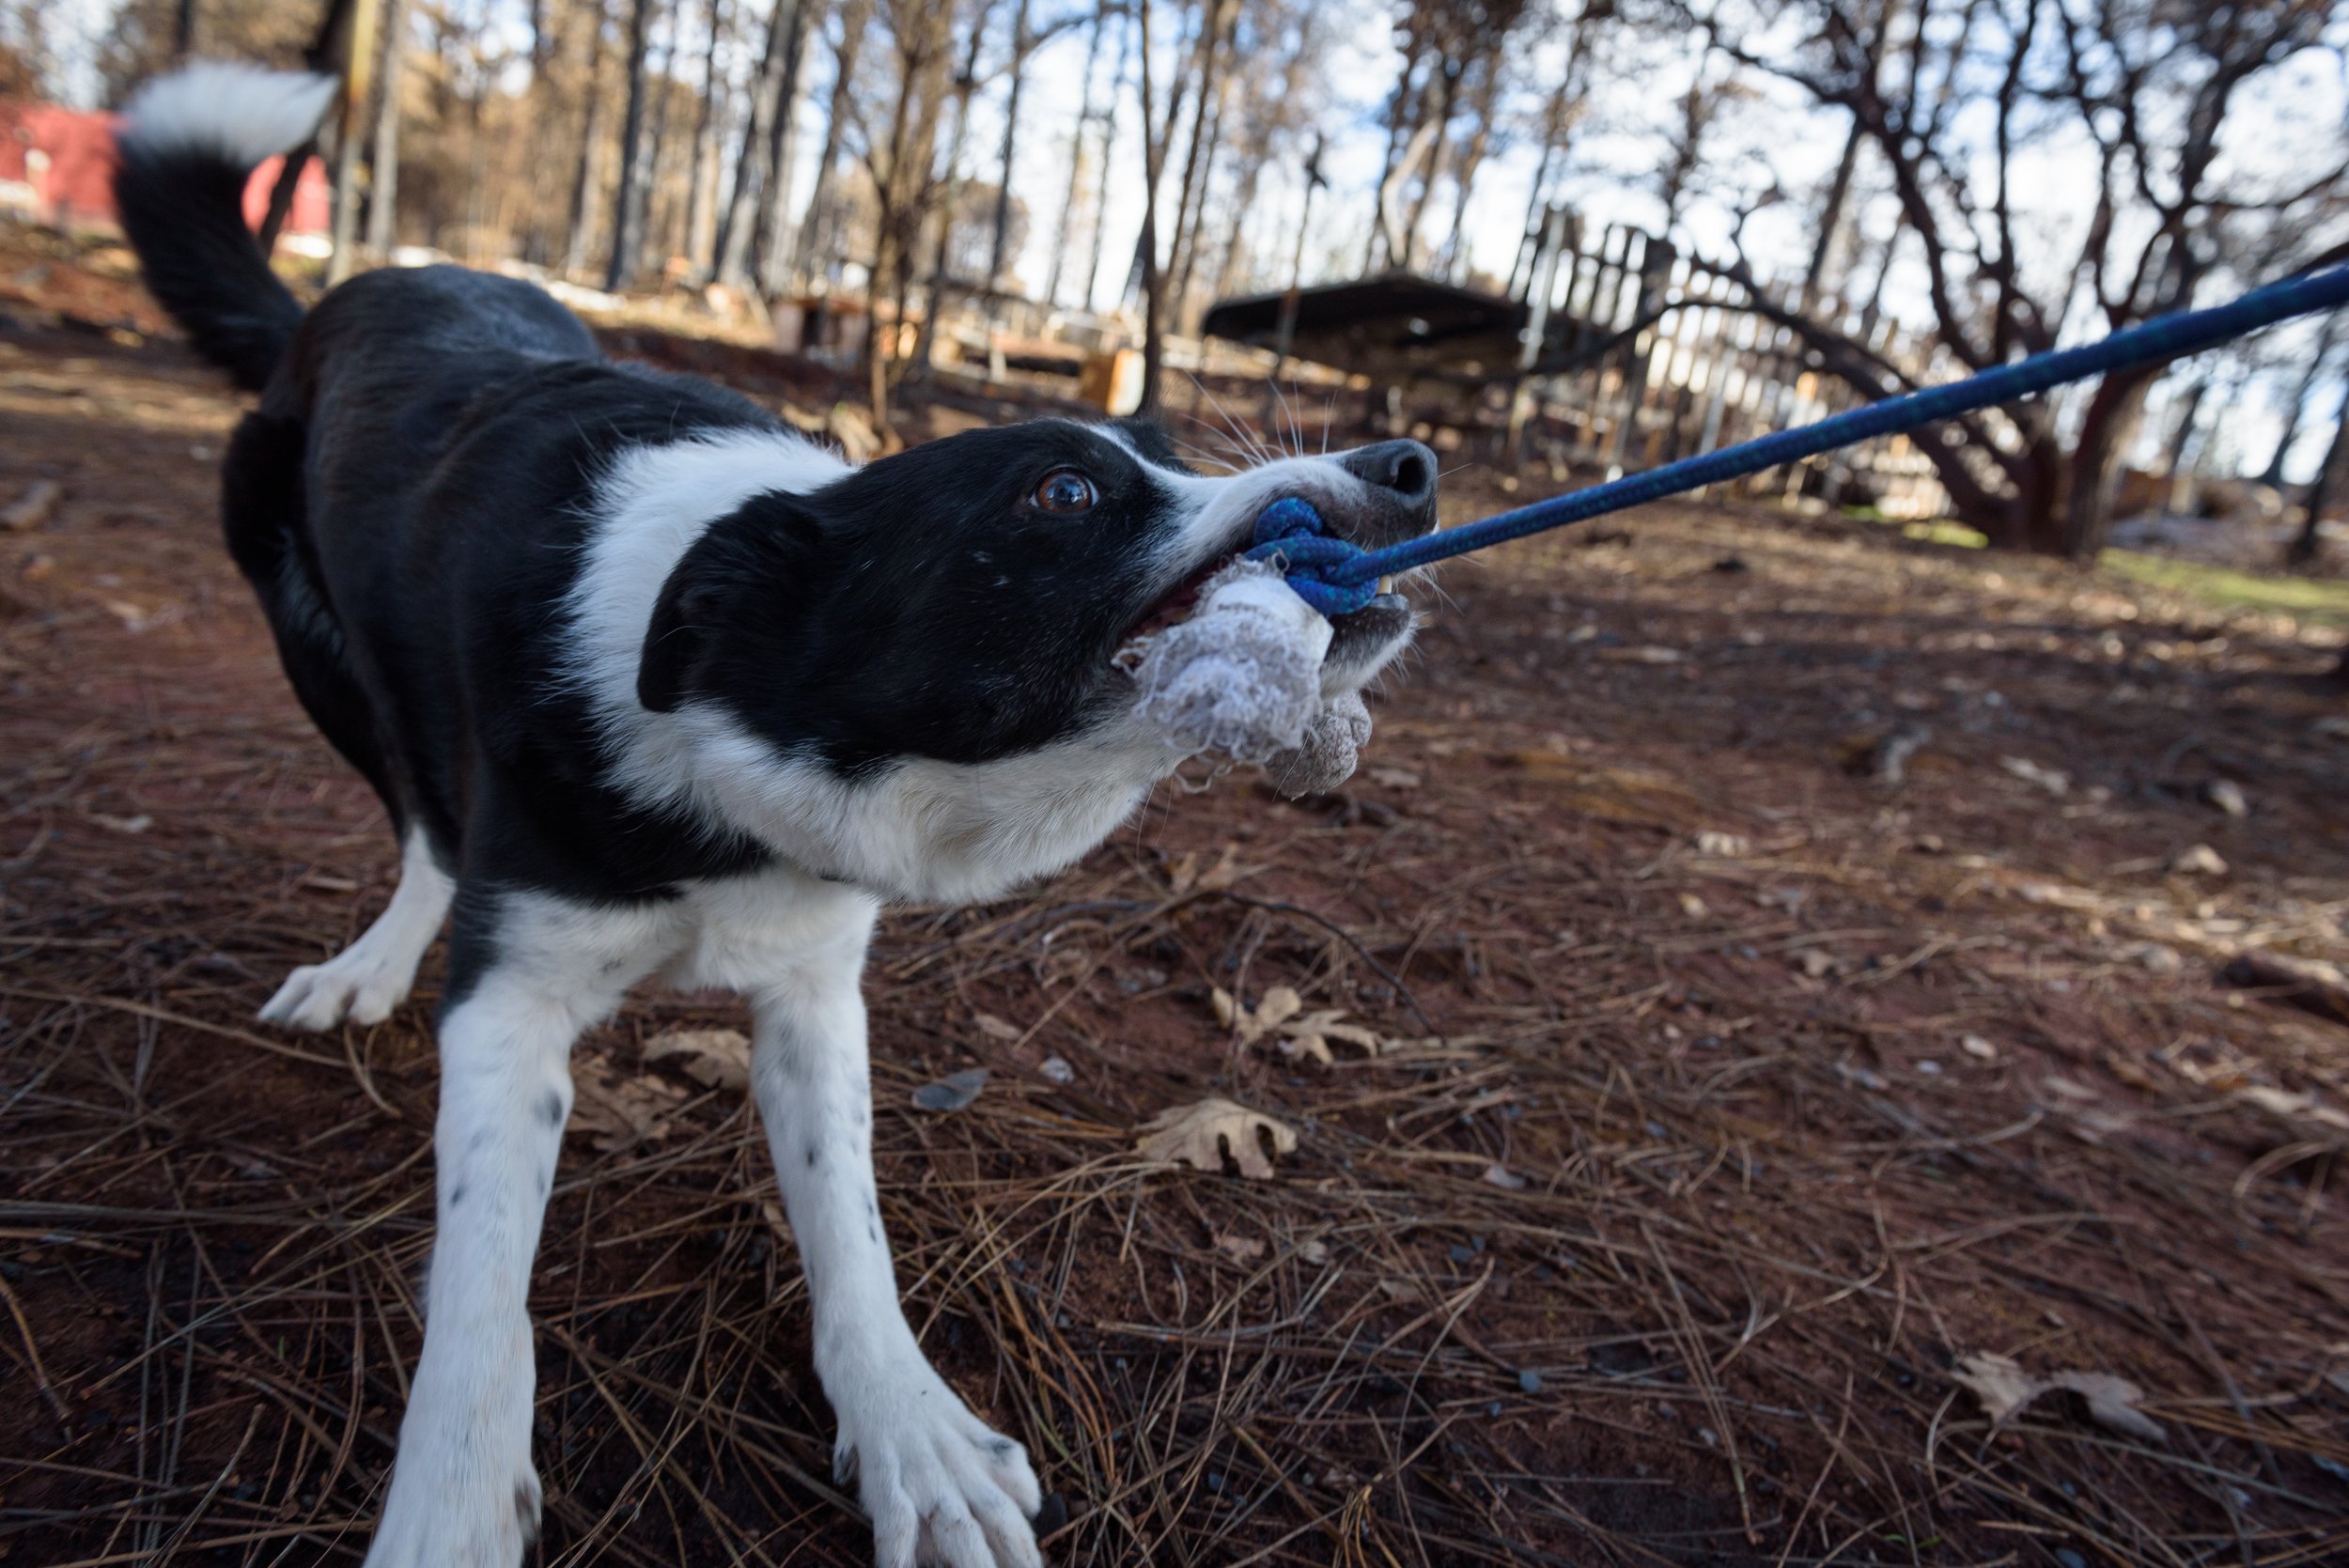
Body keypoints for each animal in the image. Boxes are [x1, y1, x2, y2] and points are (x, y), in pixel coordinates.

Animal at [118, 57, 1438, 1568]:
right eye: (1065, 490)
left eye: (1157, 454)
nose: (1408, 465)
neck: (724, 704)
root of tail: (337, 299)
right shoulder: (512, 1003)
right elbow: (482, 1284)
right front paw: (450, 1507)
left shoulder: (815, 982)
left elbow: (847, 1217)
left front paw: (914, 1434)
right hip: (318, 646)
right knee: (420, 822)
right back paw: (370, 961)